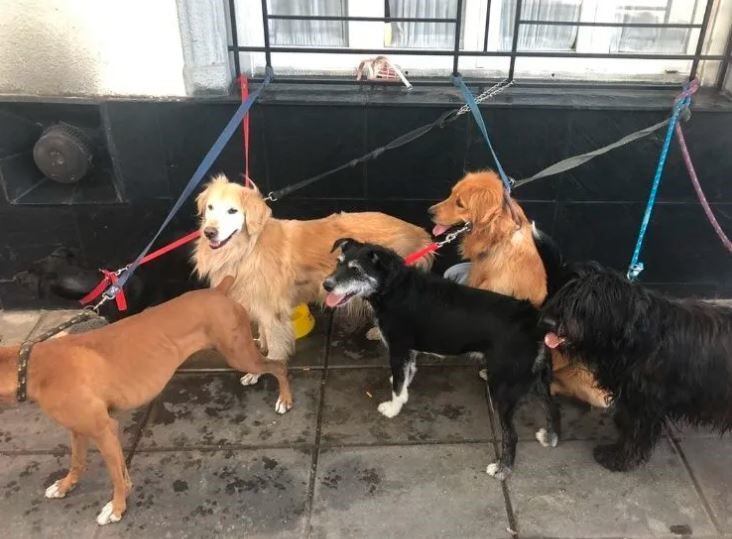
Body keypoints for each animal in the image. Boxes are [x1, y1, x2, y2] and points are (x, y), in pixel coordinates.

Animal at [0, 278, 292, 528]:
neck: (30, 366)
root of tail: (217, 290)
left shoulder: (104, 430)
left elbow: (117, 475)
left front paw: (116, 508)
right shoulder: (79, 430)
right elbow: (79, 462)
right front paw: (65, 485)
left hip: (237, 352)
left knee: (278, 366)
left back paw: (284, 399)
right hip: (239, 350)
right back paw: (254, 377)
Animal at [194, 176, 434, 384]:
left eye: (232, 210)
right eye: (210, 208)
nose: (209, 232)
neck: (248, 247)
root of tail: (418, 231)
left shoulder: (272, 311)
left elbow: (273, 348)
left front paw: (258, 371)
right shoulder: (259, 303)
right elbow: (263, 333)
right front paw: (260, 345)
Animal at [324, 238, 556, 478]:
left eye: (356, 270)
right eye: (338, 262)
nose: (327, 285)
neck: (393, 287)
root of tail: (535, 324)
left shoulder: (398, 348)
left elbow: (398, 384)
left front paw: (393, 408)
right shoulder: (408, 351)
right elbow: (406, 373)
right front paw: (403, 390)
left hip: (503, 389)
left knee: (512, 435)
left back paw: (503, 469)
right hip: (537, 380)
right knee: (552, 406)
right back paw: (550, 437)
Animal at [540, 264, 732, 472]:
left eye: (582, 302)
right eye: (559, 293)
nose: (548, 322)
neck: (631, 333)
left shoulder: (644, 400)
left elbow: (636, 432)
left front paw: (619, 458)